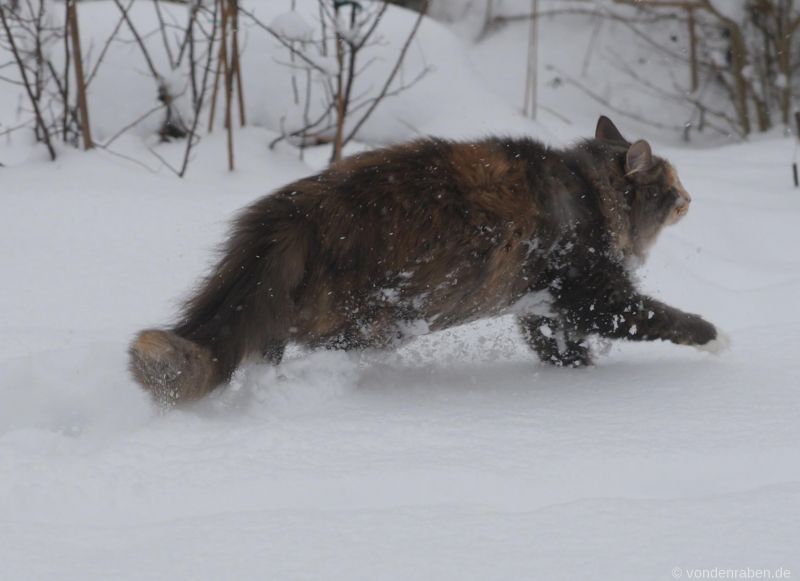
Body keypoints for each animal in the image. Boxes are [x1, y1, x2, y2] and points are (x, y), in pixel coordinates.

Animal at [128, 115, 728, 406]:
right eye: (672, 184)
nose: (691, 197)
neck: (589, 192)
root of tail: (293, 213)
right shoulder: (591, 293)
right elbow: (659, 317)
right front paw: (715, 336)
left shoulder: (543, 305)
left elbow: (557, 346)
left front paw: (576, 373)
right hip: (374, 319)